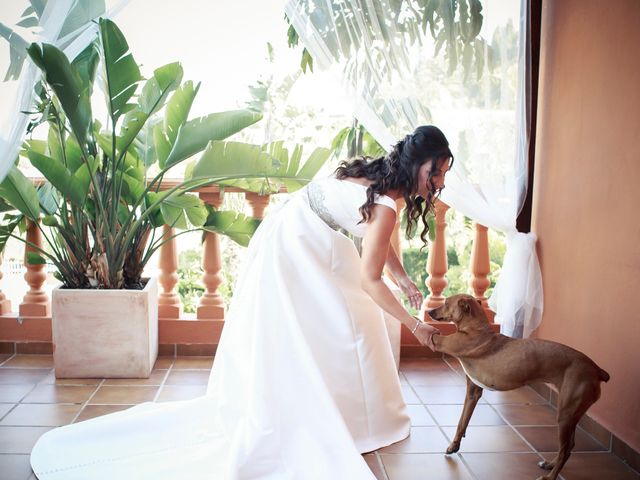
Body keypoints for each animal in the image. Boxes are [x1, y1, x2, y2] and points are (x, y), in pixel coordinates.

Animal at [428, 292, 608, 480]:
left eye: (446, 303)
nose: (430, 312)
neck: (476, 328)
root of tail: (596, 369)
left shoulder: (441, 341)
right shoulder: (473, 392)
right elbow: (461, 422)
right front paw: (454, 445)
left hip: (566, 414)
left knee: (565, 450)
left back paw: (550, 476)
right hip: (572, 414)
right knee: (569, 446)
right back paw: (550, 464)